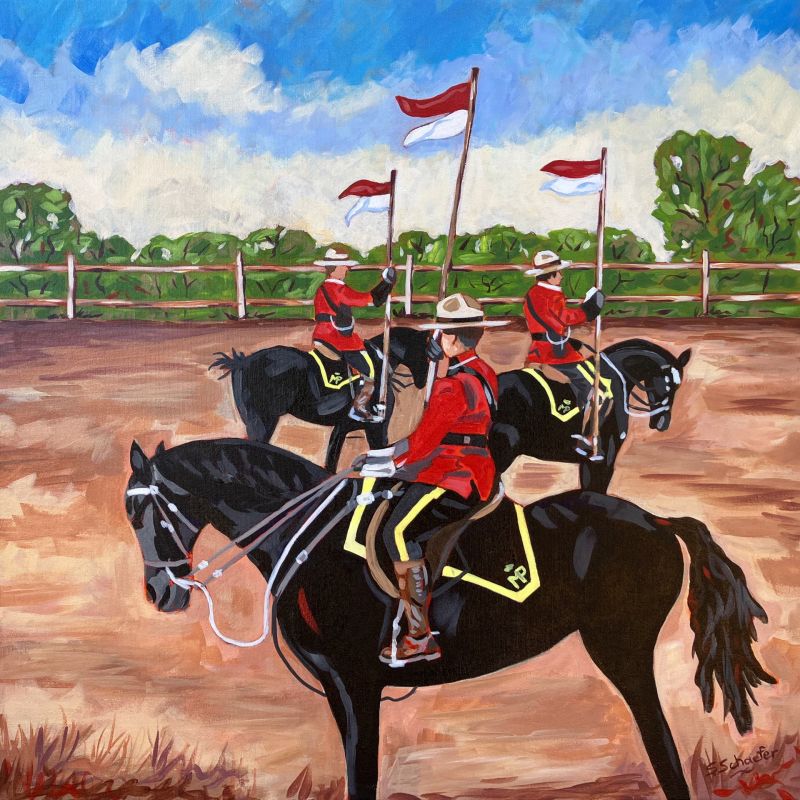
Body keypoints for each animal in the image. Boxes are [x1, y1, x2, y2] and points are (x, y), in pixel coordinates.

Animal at [126, 438, 776, 800]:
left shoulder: (356, 684)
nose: (160, 592)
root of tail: (655, 520)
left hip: (621, 649)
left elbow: (363, 776)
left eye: (149, 513)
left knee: (660, 742)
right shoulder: (341, 689)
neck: (312, 540)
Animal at [209, 328, 428, 472]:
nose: (422, 382)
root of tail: (242, 361)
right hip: (262, 421)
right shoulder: (375, 428)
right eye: (425, 351)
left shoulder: (346, 429)